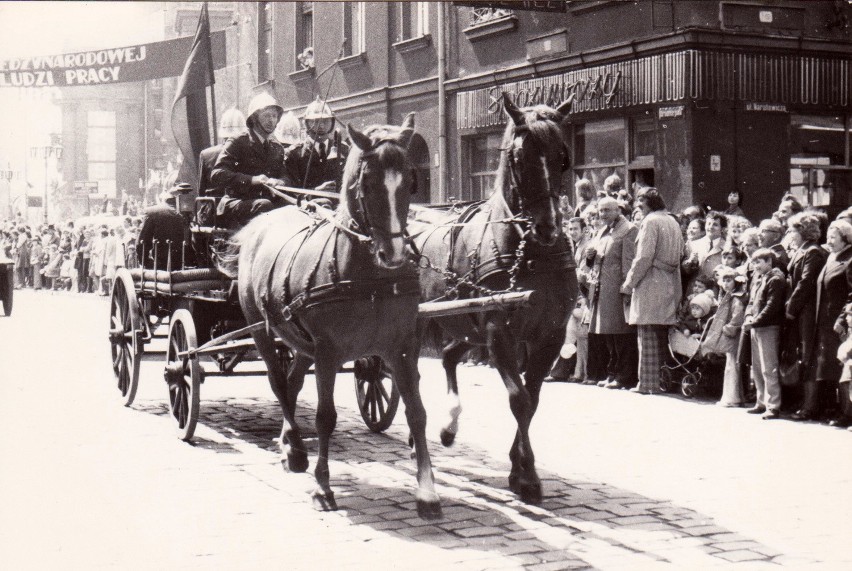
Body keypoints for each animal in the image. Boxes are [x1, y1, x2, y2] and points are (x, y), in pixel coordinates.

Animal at [223, 115, 442, 520]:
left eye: (410, 180)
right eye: (367, 182)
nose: (393, 254)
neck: (369, 278)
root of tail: (258, 223)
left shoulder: (402, 348)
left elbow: (417, 413)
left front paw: (427, 492)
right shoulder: (327, 351)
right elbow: (326, 417)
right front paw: (322, 488)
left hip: (296, 336)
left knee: (292, 383)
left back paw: (290, 442)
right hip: (262, 329)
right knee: (278, 383)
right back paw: (294, 449)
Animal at [408, 94, 580, 504]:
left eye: (562, 155)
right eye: (519, 157)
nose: (548, 227)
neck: (530, 253)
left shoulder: (549, 335)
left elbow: (532, 400)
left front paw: (519, 467)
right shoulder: (499, 331)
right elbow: (519, 398)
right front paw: (527, 476)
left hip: (463, 321)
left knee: (449, 356)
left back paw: (448, 427)